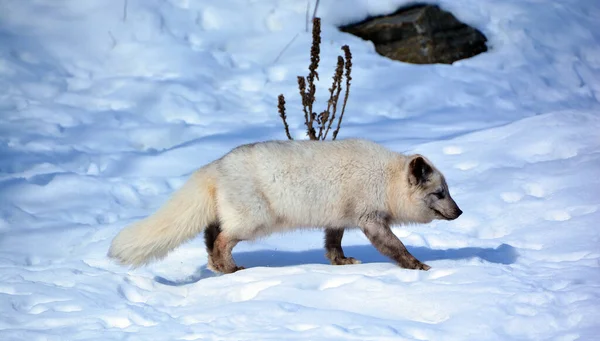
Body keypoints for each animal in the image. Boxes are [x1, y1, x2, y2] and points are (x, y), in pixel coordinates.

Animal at [109, 137, 464, 272]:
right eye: (440, 193)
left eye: (448, 191)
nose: (460, 212)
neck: (385, 180)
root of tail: (215, 165)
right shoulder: (371, 220)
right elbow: (396, 246)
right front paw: (418, 266)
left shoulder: (337, 218)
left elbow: (332, 244)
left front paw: (341, 263)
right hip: (253, 222)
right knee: (221, 240)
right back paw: (231, 269)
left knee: (210, 236)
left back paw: (218, 268)